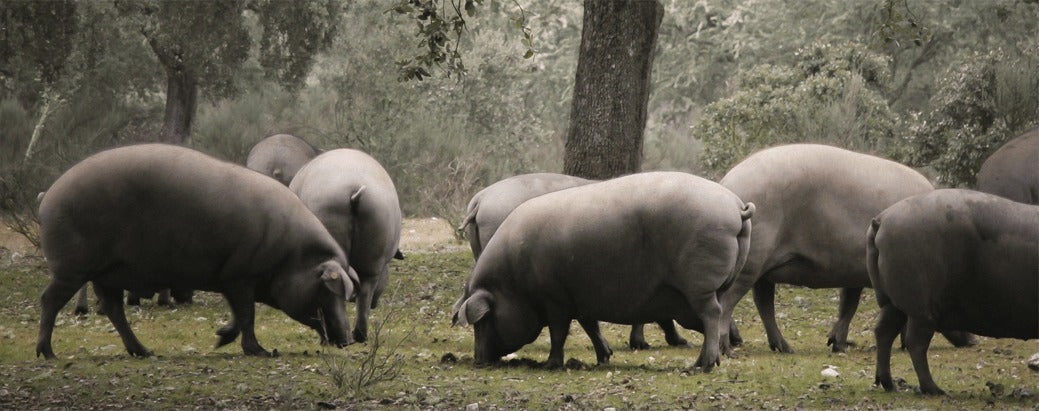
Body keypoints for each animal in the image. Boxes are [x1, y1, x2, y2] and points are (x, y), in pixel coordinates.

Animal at [36, 144, 357, 359]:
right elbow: (247, 315)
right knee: (50, 301)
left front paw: (220, 339)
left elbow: (240, 315)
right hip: (72, 268)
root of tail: (49, 194)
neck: (292, 254)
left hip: (108, 272)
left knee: (114, 310)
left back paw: (145, 352)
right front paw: (261, 351)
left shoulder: (232, 279)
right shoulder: (240, 276)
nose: (350, 340)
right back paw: (48, 354)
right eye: (328, 290)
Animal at [868, 189, 1038, 395]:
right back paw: (935, 390)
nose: (974, 342)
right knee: (915, 343)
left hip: (893, 302)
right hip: (920, 308)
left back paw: (890, 386)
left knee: (883, 332)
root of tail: (881, 220)